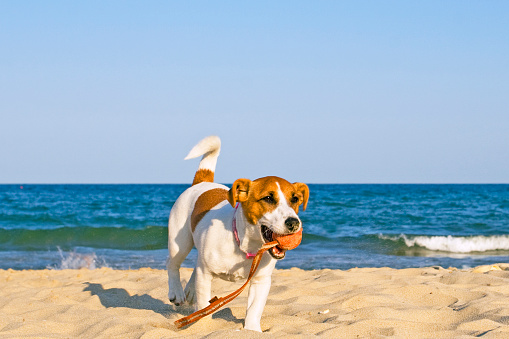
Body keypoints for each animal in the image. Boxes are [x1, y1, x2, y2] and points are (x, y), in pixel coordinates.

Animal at [168, 135, 310, 332]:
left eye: (295, 199)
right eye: (268, 198)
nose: (294, 223)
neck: (246, 246)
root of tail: (202, 183)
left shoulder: (261, 281)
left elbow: (254, 310)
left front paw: (252, 330)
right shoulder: (206, 275)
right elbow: (204, 307)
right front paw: (203, 327)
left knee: (194, 267)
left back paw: (189, 291)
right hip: (180, 243)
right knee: (173, 264)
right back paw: (177, 291)